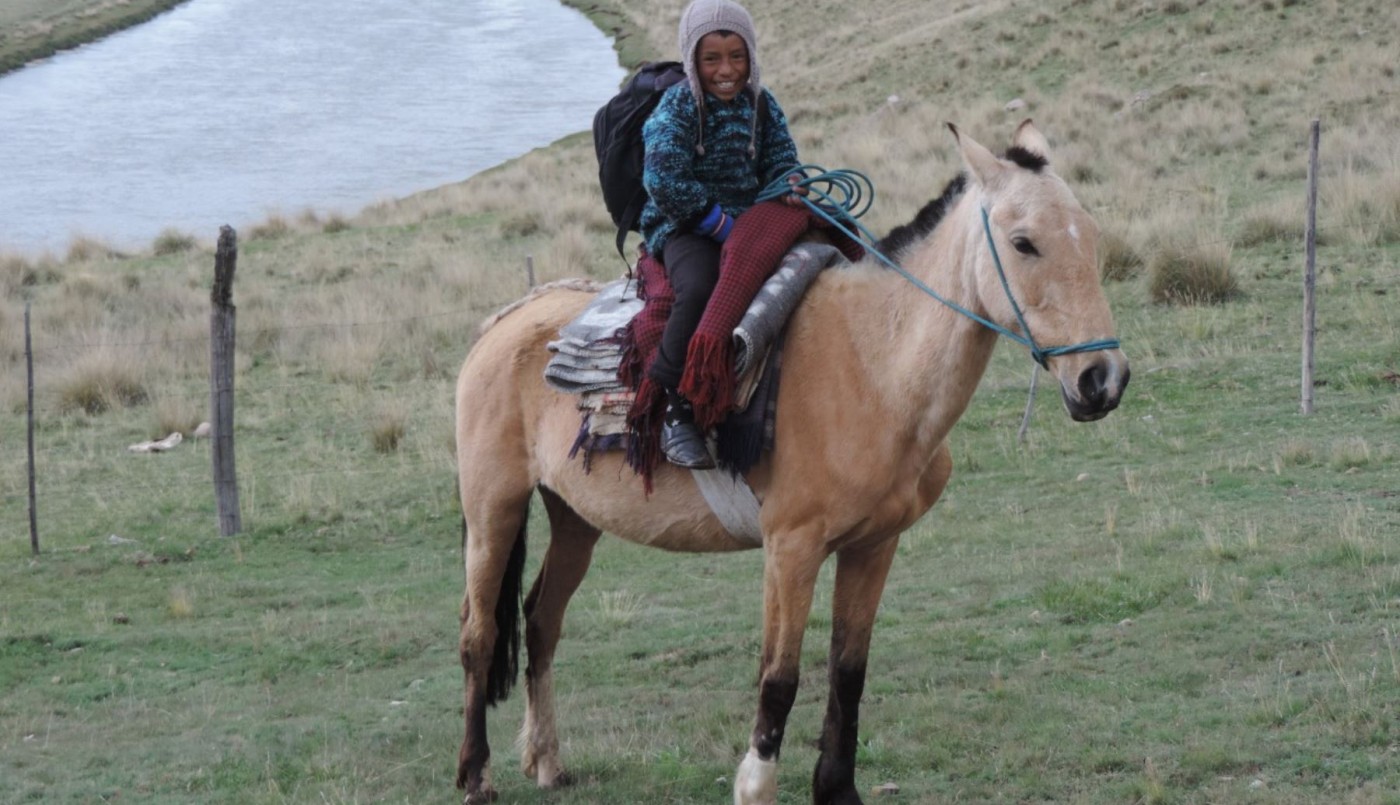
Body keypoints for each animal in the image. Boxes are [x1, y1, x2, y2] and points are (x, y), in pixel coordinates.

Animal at [453, 121, 1130, 805]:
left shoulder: (873, 547)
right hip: (493, 511)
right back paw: (476, 774)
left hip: (574, 518)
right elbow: (779, 677)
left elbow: (848, 671)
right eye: (1023, 243)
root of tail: (502, 324)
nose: (1103, 380)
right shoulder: (791, 548)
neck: (873, 365)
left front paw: (837, 789)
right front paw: (755, 785)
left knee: (541, 620)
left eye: (1090, 233)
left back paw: (546, 760)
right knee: (479, 636)